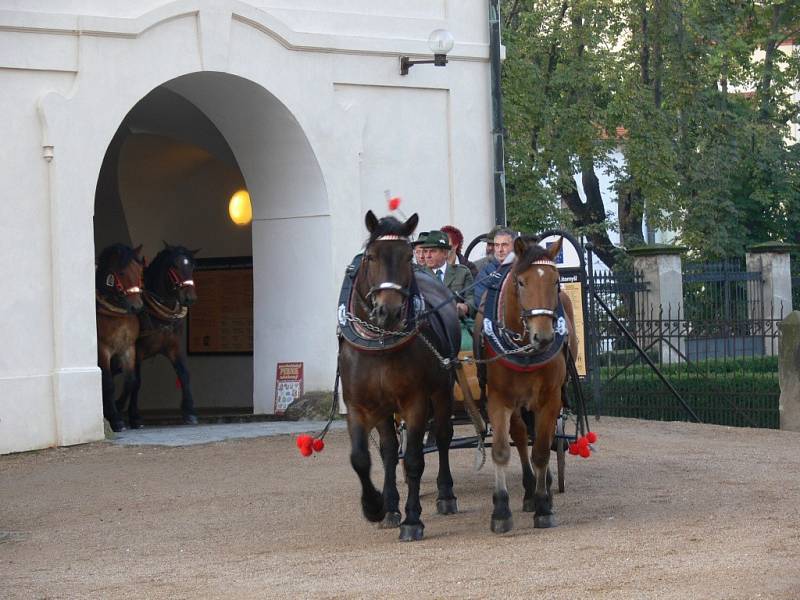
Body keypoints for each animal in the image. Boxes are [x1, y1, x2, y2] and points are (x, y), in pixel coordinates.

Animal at [95, 243, 145, 432]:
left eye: (140, 271)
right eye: (122, 273)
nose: (137, 307)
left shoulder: (128, 348)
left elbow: (130, 381)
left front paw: (118, 406)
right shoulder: (102, 349)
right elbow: (108, 383)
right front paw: (115, 419)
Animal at [118, 241, 200, 428]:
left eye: (192, 265)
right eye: (174, 265)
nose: (190, 298)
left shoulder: (174, 347)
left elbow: (184, 373)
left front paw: (189, 411)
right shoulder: (137, 351)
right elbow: (136, 382)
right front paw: (134, 416)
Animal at [338, 212, 462, 544]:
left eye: (407, 256)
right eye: (370, 256)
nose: (389, 311)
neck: (380, 344)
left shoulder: (415, 402)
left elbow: (416, 459)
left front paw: (413, 519)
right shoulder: (360, 405)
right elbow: (364, 458)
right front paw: (376, 506)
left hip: (442, 390)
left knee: (442, 437)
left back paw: (446, 494)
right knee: (390, 451)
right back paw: (391, 506)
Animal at [472, 236, 580, 536]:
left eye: (556, 281)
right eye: (521, 282)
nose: (543, 336)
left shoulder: (550, 399)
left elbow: (542, 451)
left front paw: (544, 506)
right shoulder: (498, 400)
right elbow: (500, 450)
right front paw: (500, 510)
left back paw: (543, 490)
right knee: (520, 436)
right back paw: (529, 489)